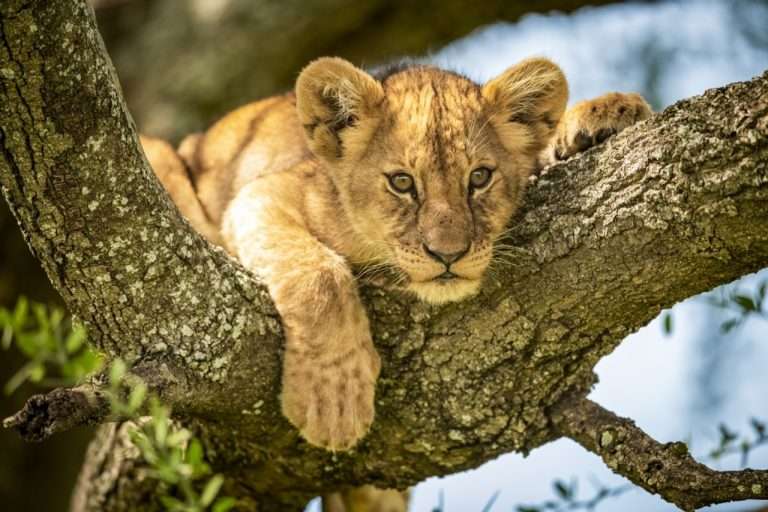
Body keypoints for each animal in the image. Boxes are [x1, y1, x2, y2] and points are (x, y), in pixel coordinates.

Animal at [141, 56, 651, 511]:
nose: (448, 254)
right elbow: (322, 276)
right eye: (403, 183)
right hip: (159, 150)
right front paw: (335, 403)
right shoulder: (264, 193)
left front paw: (606, 115)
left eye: (480, 177)